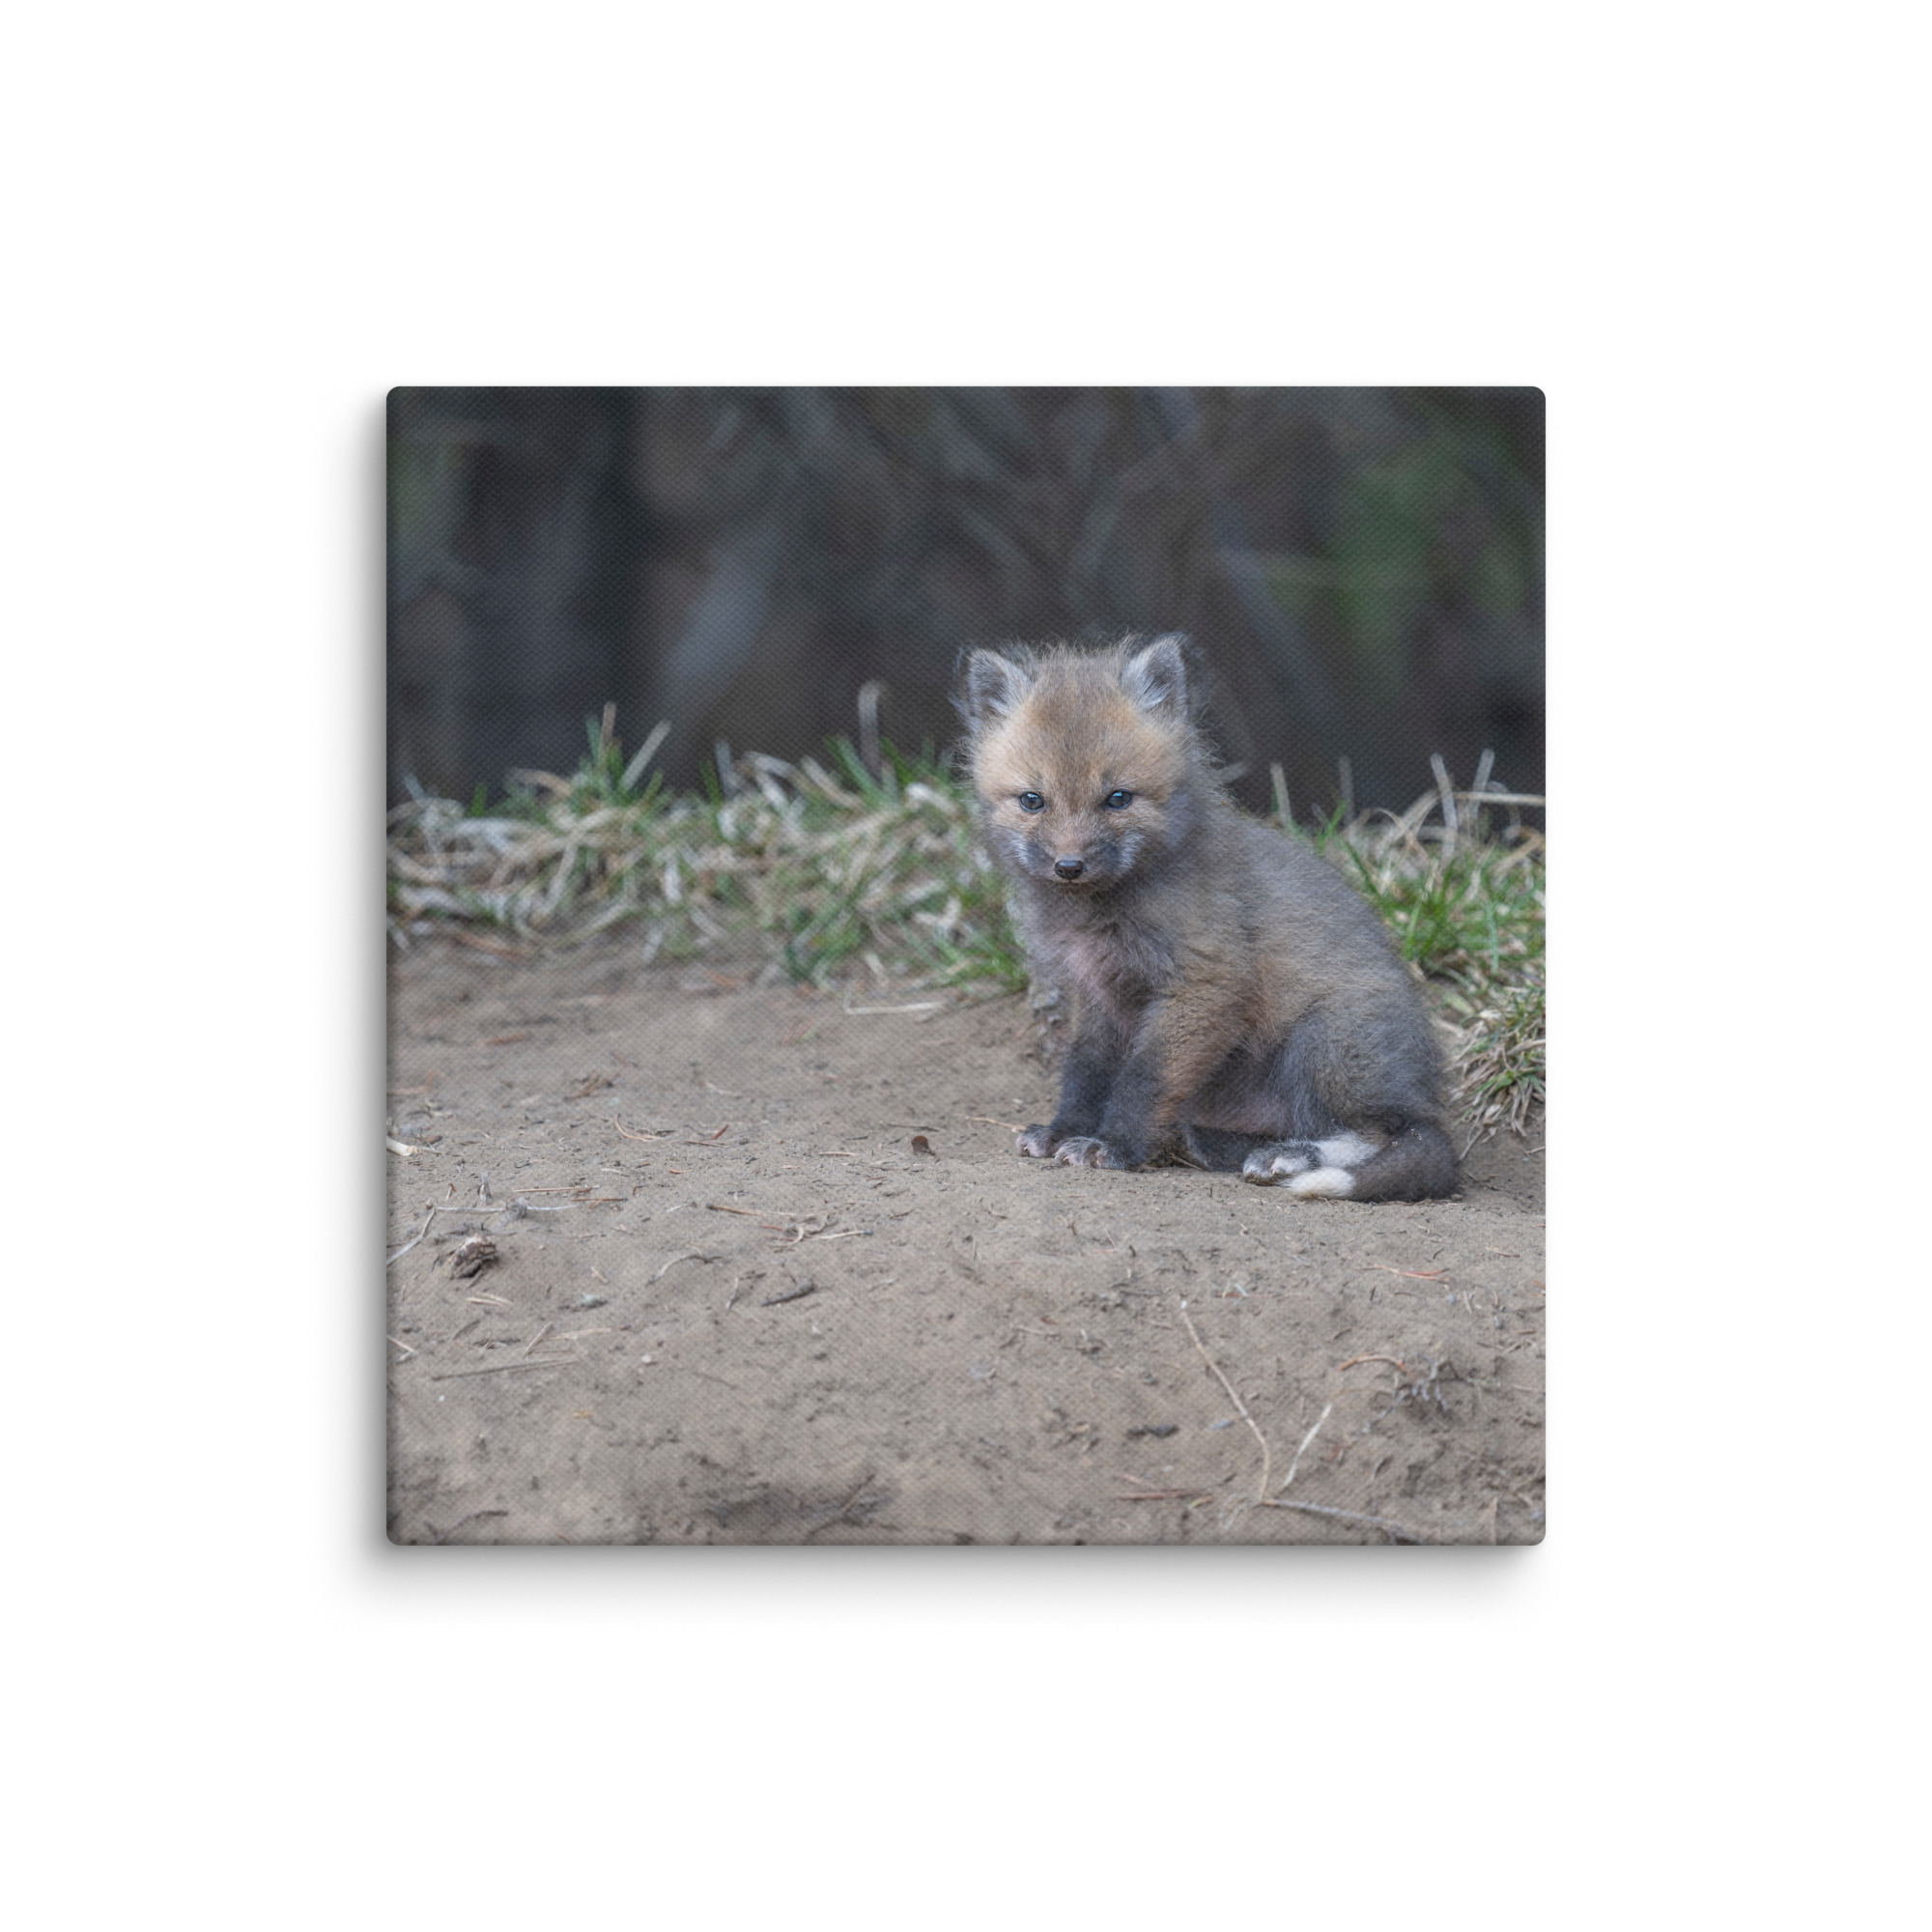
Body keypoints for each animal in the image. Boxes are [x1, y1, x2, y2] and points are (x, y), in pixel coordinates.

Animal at [955, 634, 1458, 1201]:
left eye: (1118, 798)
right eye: (1032, 800)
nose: (1069, 866)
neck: (1101, 914)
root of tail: (1424, 1094)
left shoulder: (1205, 982)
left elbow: (1144, 1079)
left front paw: (1114, 1146)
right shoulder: (1097, 994)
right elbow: (1086, 1072)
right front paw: (1066, 1130)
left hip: (1324, 1042)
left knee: (1384, 1133)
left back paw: (1290, 1157)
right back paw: (1216, 1144)